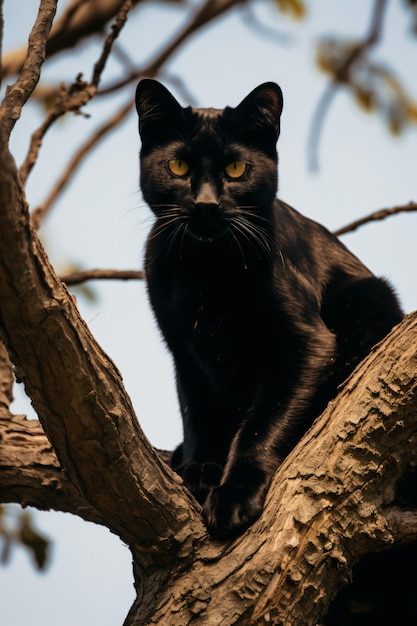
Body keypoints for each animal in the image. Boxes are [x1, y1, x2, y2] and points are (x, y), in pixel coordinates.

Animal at [135, 77, 402, 536]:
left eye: (236, 170)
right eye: (178, 167)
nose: (206, 204)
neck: (208, 271)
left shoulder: (306, 345)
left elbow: (263, 425)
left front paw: (233, 495)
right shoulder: (185, 352)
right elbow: (197, 412)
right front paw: (200, 468)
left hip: (370, 299)